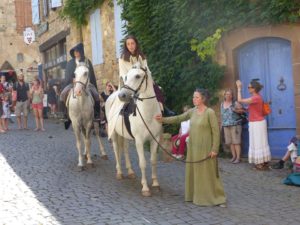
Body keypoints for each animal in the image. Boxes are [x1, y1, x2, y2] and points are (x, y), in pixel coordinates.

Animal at [106, 62, 163, 196]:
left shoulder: (155, 139)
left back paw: (130, 172)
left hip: (124, 135)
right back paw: (119, 173)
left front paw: (155, 184)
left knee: (125, 149)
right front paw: (145, 188)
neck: (148, 113)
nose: (122, 96)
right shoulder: (139, 141)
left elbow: (153, 160)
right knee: (116, 150)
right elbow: (142, 163)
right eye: (126, 76)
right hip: (114, 134)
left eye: (137, 76)